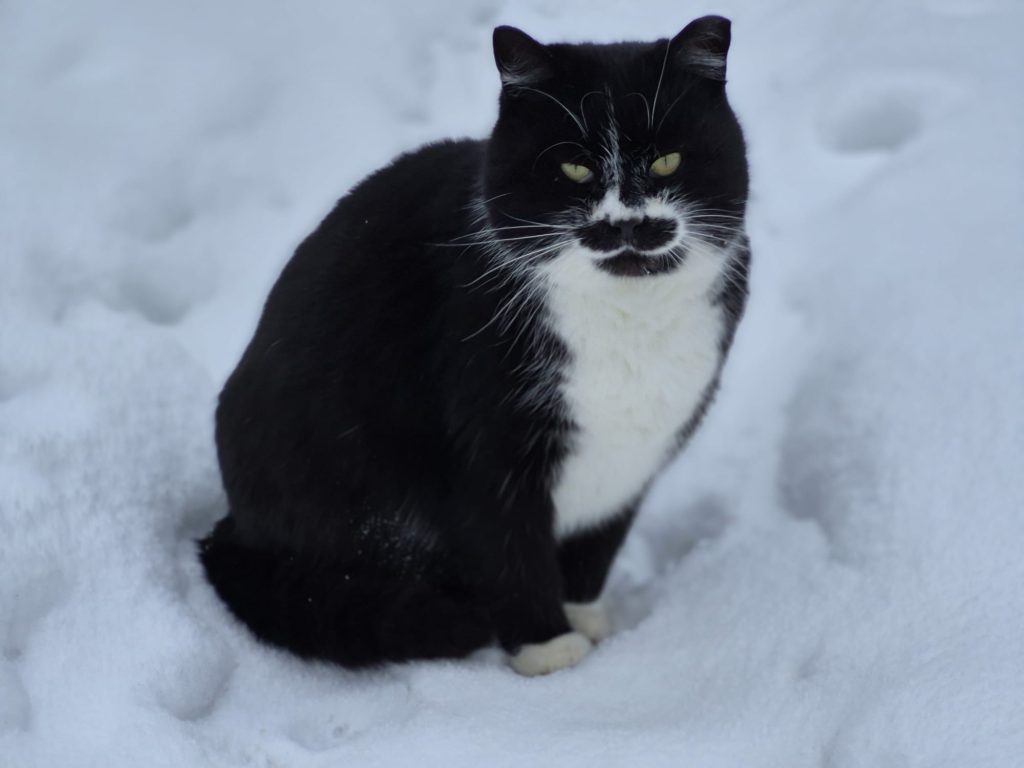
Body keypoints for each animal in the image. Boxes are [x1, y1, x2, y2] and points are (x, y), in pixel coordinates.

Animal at [199, 15, 750, 677]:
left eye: (668, 161)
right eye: (574, 170)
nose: (626, 223)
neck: (628, 316)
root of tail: (234, 532)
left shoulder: (642, 446)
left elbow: (600, 539)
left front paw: (583, 615)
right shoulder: (484, 440)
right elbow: (510, 544)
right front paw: (548, 647)